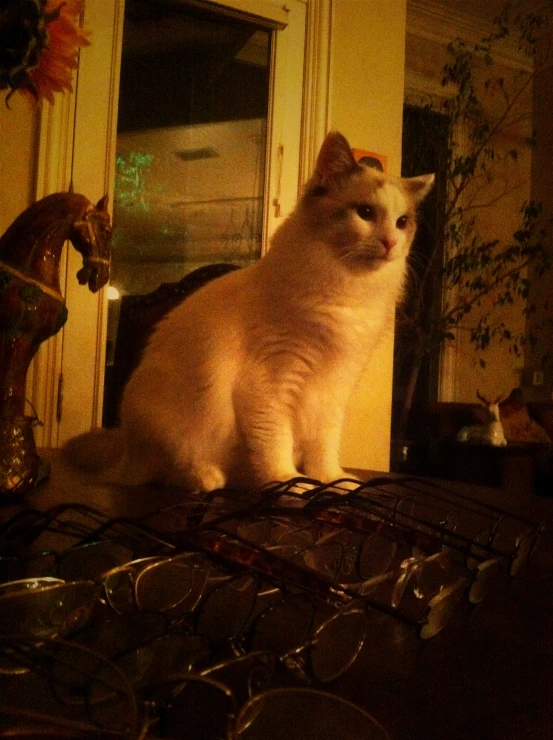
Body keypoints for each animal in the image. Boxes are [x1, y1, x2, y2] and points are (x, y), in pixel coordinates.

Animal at [67, 133, 434, 492]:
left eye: (402, 222)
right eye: (366, 212)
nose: (390, 243)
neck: (348, 289)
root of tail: (124, 448)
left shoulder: (334, 387)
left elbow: (324, 449)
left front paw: (332, 481)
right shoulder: (272, 383)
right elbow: (275, 443)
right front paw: (290, 482)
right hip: (170, 424)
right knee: (168, 471)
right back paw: (208, 478)